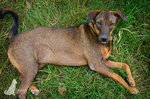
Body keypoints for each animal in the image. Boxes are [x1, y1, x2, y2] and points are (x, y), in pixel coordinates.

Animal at [0, 8, 139, 99]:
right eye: (99, 22)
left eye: (112, 24)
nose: (104, 39)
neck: (96, 34)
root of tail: (13, 38)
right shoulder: (97, 64)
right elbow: (117, 76)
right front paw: (130, 88)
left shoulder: (104, 61)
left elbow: (125, 65)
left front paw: (131, 81)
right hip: (31, 66)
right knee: (20, 91)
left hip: (37, 64)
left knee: (21, 77)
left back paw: (33, 89)